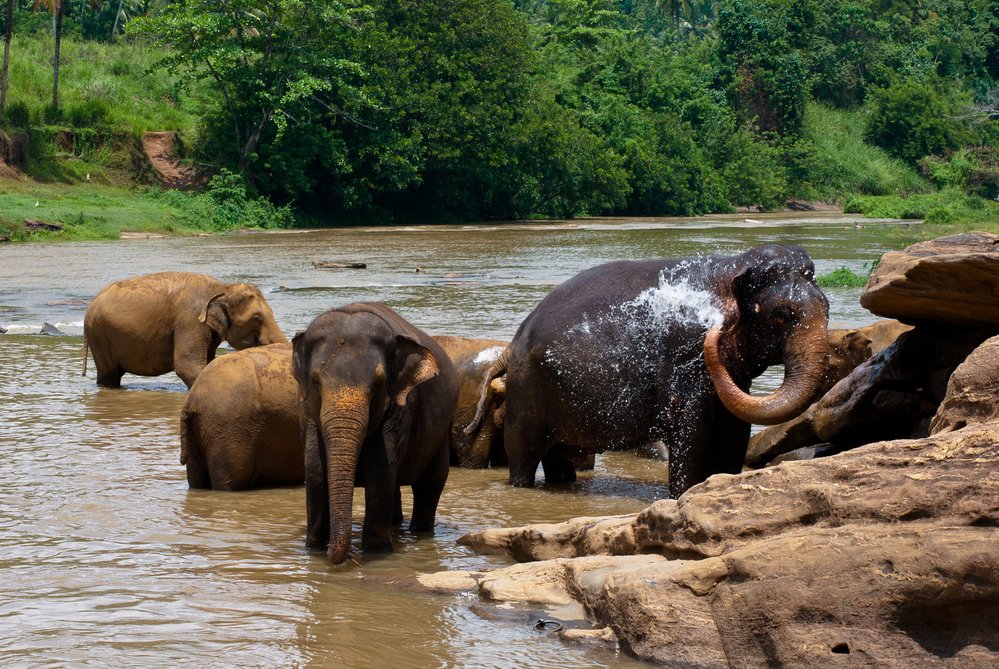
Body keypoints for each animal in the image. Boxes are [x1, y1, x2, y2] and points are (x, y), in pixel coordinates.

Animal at [81, 270, 288, 386]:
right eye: (257, 318)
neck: (222, 287)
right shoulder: (190, 320)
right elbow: (187, 365)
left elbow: (207, 363)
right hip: (98, 335)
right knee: (109, 375)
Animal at [292, 302, 458, 564]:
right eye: (316, 382)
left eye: (379, 383)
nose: (335, 554)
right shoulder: (306, 410)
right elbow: (316, 469)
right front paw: (314, 549)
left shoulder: (401, 407)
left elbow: (381, 467)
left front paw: (377, 552)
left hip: (441, 432)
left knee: (431, 482)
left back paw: (419, 533)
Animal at [472, 243, 832, 498]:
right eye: (784, 315)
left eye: (828, 308)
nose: (715, 333)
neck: (732, 266)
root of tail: (512, 344)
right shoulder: (686, 353)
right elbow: (691, 427)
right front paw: (681, 495)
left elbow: (735, 429)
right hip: (527, 390)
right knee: (523, 456)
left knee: (560, 458)